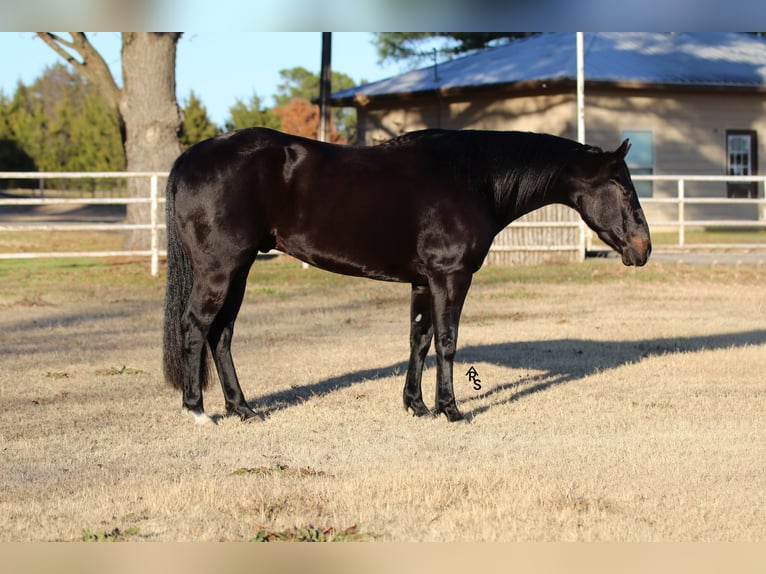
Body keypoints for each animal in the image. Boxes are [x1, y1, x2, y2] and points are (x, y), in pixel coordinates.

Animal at [165, 132, 652, 428]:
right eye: (623, 188)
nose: (643, 248)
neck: (470, 177)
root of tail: (189, 158)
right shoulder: (450, 277)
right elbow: (447, 342)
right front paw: (451, 410)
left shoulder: (423, 282)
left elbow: (419, 340)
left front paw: (416, 406)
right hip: (221, 269)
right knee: (195, 328)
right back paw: (198, 412)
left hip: (240, 269)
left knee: (222, 334)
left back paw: (242, 408)